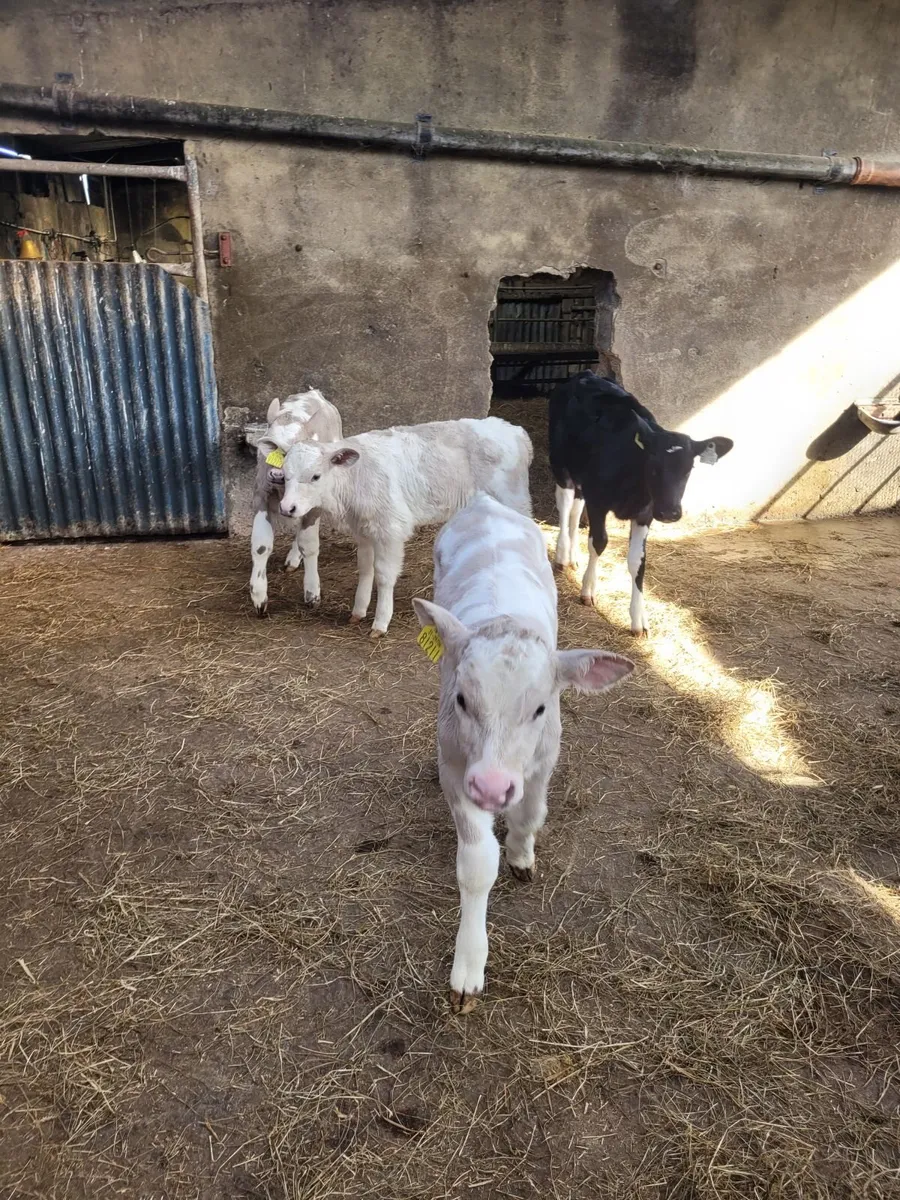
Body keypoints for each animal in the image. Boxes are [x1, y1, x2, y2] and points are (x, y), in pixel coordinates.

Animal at [249, 389, 343, 616]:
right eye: (272, 447)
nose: (276, 474)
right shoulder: (261, 493)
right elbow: (261, 545)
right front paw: (259, 596)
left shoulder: (314, 502)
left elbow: (308, 544)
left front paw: (312, 592)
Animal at [279, 416, 532, 638]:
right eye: (284, 476)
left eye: (315, 476)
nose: (287, 507)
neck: (354, 477)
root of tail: (516, 431)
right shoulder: (364, 529)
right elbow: (365, 568)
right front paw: (358, 611)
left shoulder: (390, 528)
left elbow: (383, 575)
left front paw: (380, 622)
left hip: (514, 501)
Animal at [413, 493, 634, 1012]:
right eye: (461, 700)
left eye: (539, 708)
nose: (493, 788)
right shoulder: (458, 769)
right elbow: (477, 865)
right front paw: (468, 966)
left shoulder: (544, 759)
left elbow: (531, 813)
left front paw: (521, 853)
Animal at [549, 371, 733, 635]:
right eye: (653, 465)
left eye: (689, 469)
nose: (669, 512)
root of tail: (585, 374)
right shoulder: (598, 501)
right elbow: (598, 542)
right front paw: (587, 589)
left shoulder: (645, 513)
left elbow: (637, 561)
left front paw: (638, 619)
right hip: (561, 466)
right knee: (565, 507)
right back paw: (562, 555)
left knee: (575, 510)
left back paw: (573, 556)